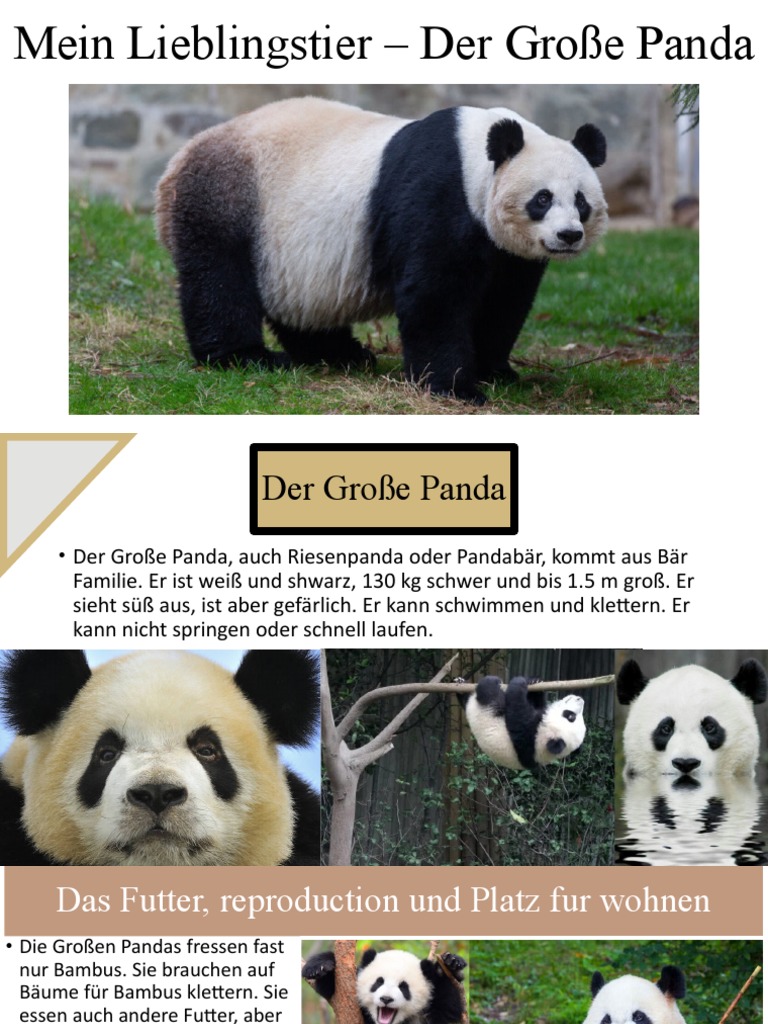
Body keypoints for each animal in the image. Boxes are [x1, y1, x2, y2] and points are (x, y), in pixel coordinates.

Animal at [156, 96, 607, 404]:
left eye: (581, 201)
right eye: (542, 199)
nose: (568, 235)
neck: (477, 159)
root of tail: (177, 162)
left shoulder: (507, 254)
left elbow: (504, 301)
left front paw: (495, 371)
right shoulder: (438, 195)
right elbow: (434, 294)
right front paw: (455, 387)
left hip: (286, 247)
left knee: (298, 304)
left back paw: (342, 355)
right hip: (225, 201)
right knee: (219, 281)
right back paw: (246, 357)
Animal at [302, 947, 466, 1024]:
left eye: (403, 987)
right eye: (378, 982)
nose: (386, 999)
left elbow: (449, 1009)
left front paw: (450, 963)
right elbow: (330, 989)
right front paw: (318, 966)